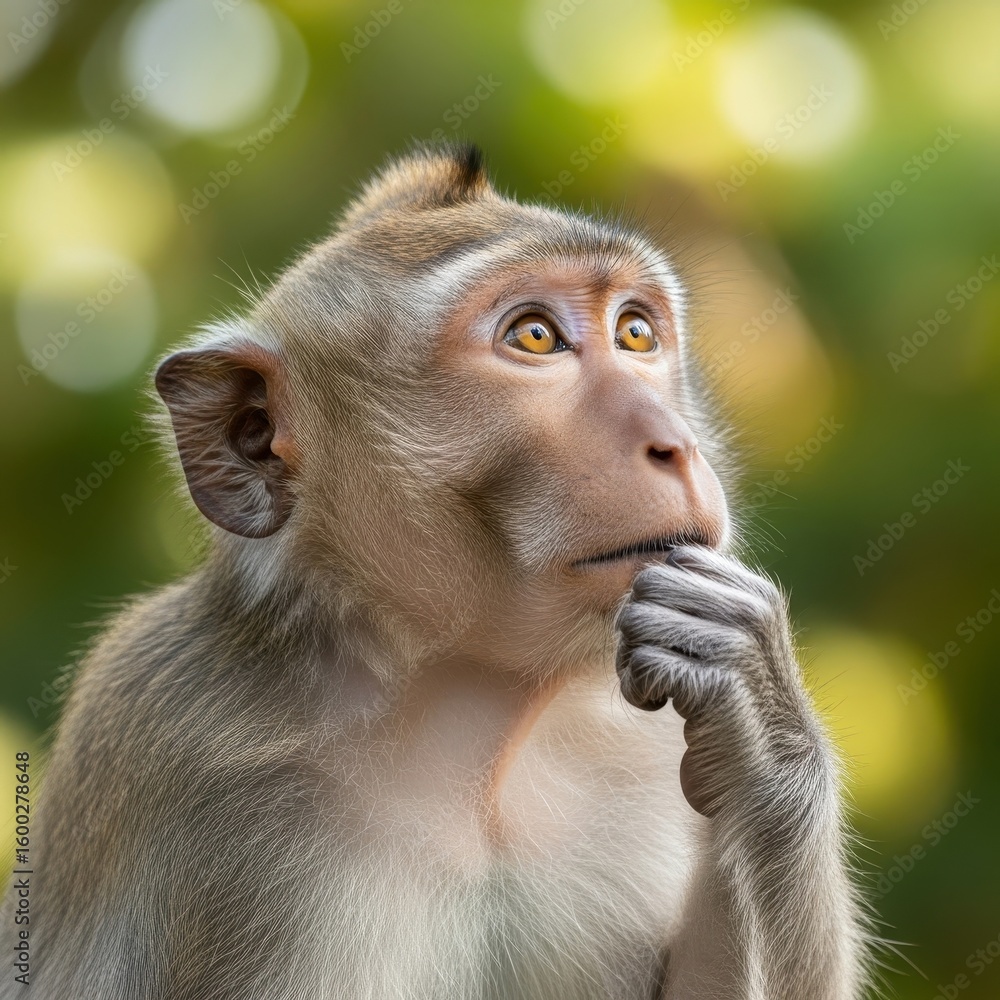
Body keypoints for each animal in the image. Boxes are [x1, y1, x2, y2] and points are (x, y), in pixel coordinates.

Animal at [1, 143, 869, 999]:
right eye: (534, 338)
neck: (471, 724)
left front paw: (758, 722)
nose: (675, 444)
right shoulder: (199, 778)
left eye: (634, 332)